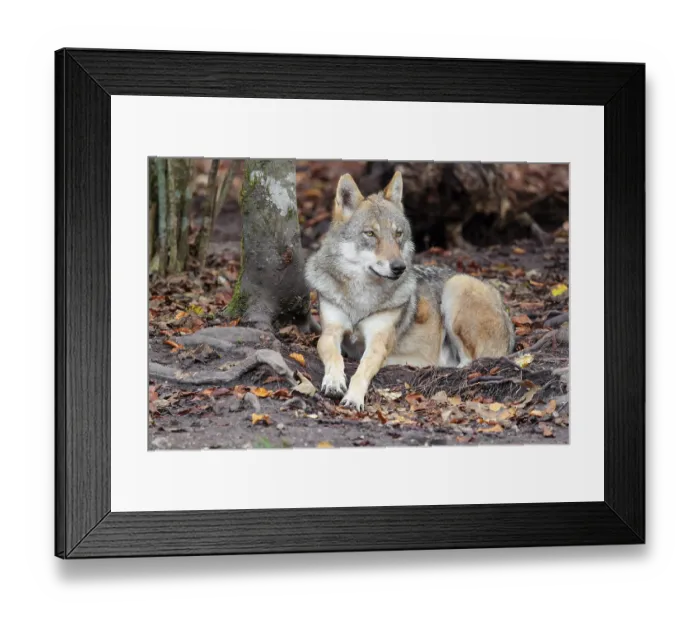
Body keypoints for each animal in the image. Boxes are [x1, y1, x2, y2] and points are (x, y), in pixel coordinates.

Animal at [304, 171, 515, 411]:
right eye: (370, 234)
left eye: (398, 234)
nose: (399, 267)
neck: (361, 299)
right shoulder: (330, 332)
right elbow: (334, 356)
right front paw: (333, 382)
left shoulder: (377, 343)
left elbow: (361, 370)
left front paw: (354, 397)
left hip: (457, 286)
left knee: (469, 363)